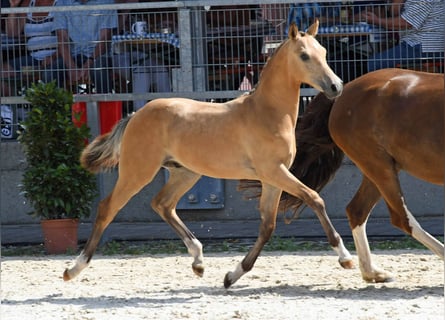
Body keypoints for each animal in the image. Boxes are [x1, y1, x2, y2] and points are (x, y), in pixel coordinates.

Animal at [63, 21, 354, 288]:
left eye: (324, 51)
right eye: (304, 55)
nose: (336, 86)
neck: (266, 113)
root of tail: (136, 114)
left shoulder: (272, 179)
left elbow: (267, 226)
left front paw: (232, 276)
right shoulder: (273, 171)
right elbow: (314, 198)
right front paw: (345, 258)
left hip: (185, 173)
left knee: (162, 204)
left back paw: (198, 260)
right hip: (138, 171)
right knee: (108, 208)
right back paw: (74, 269)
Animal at [266, 69, 442, 282]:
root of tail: (344, 91)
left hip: (378, 168)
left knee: (357, 210)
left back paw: (372, 272)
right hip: (378, 166)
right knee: (400, 217)